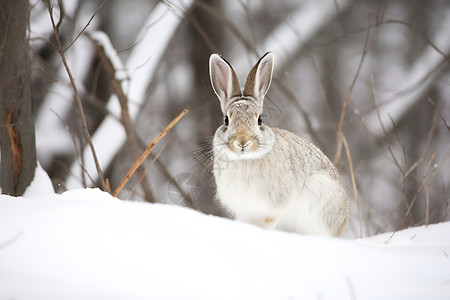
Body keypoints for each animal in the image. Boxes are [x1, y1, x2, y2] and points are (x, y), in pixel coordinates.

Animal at [209, 52, 350, 237]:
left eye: (259, 119)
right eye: (226, 120)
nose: (242, 142)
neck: (245, 159)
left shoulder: (272, 209)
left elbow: (268, 222)